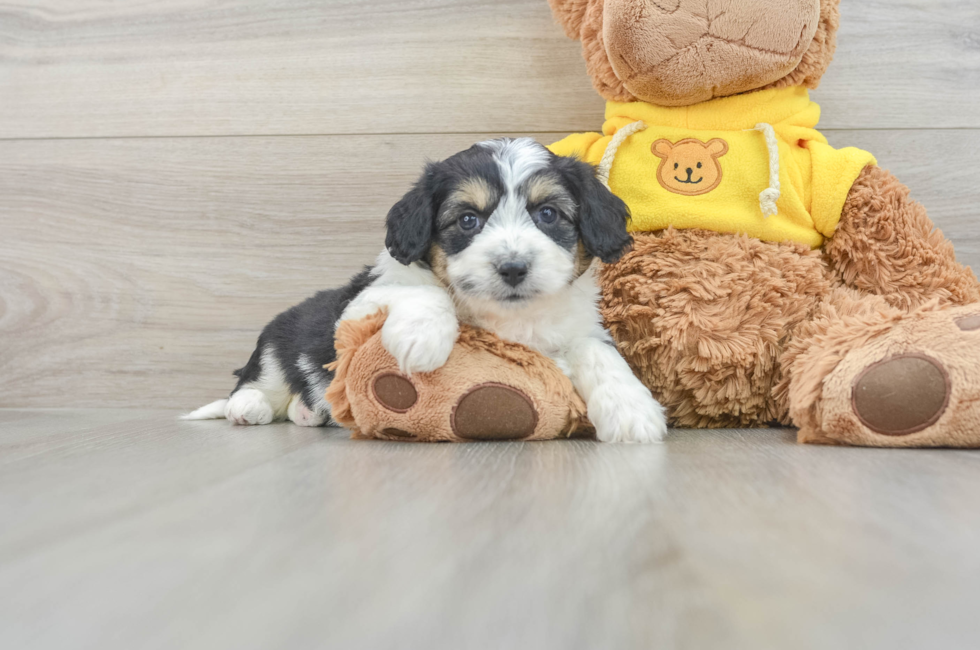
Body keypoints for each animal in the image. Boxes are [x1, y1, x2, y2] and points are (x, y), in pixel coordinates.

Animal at [186, 139, 668, 442]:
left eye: (548, 214)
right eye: (468, 220)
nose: (513, 267)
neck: (507, 319)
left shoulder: (581, 326)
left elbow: (599, 352)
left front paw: (631, 409)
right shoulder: (358, 306)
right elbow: (424, 291)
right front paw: (423, 339)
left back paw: (309, 412)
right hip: (277, 342)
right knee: (256, 380)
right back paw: (249, 407)